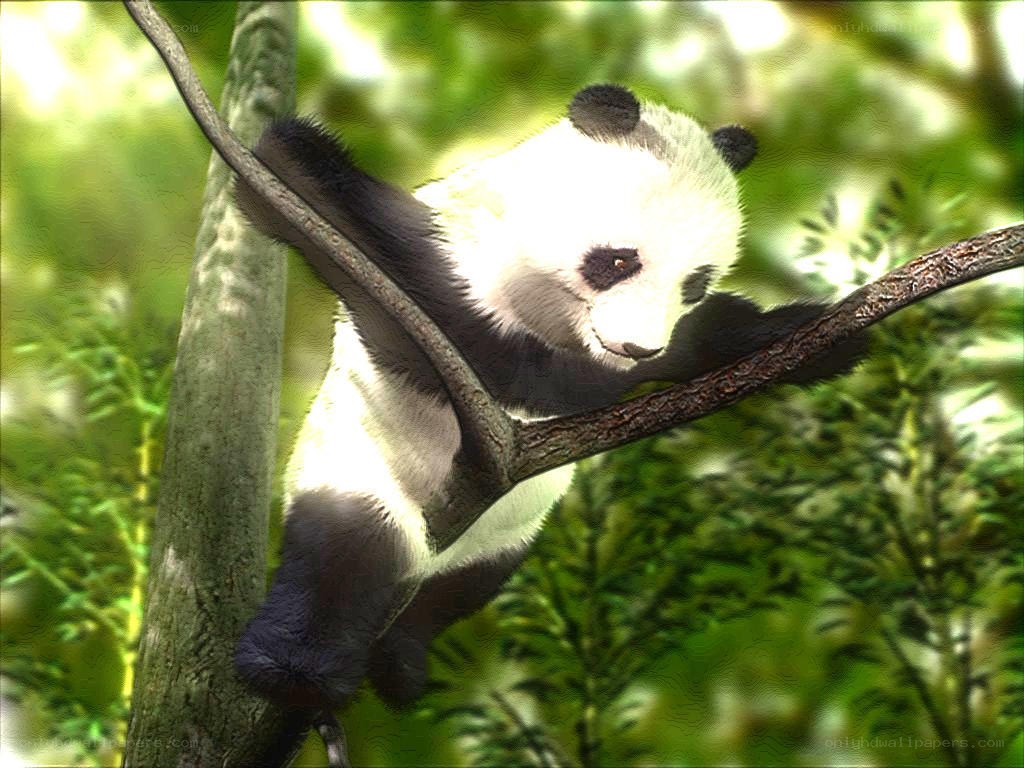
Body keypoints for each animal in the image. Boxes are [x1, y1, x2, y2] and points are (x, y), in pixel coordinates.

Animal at [233, 84, 865, 711]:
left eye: (694, 283)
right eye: (619, 260)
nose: (637, 348)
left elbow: (707, 334)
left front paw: (822, 339)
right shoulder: (454, 250)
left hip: (506, 540)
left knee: (459, 592)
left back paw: (403, 662)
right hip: (356, 469)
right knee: (343, 555)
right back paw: (296, 670)